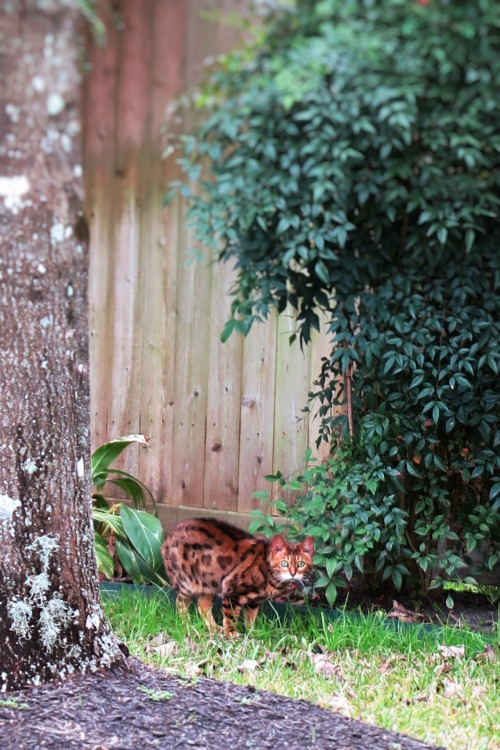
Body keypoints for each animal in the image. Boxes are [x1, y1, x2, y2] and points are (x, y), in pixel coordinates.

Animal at [162, 520, 314, 636]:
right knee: (180, 602)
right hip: (187, 583)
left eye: (301, 564)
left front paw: (252, 633)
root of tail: (166, 539)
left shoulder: (255, 601)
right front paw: (231, 634)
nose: (293, 573)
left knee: (202, 606)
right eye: (284, 563)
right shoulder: (231, 593)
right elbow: (230, 618)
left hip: (209, 583)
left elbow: (250, 619)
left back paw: (214, 628)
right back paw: (186, 624)